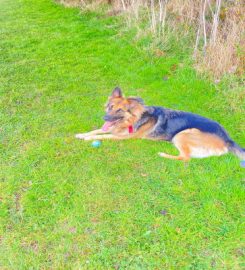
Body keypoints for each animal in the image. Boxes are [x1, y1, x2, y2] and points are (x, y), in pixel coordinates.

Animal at [76, 87, 245, 161]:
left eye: (119, 110)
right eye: (110, 107)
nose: (105, 117)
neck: (133, 119)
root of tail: (227, 139)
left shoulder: (124, 137)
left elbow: (104, 135)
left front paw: (89, 139)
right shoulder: (113, 129)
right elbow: (97, 130)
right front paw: (81, 134)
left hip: (182, 134)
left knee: (185, 158)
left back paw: (163, 154)